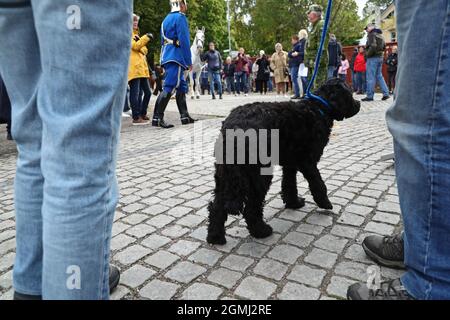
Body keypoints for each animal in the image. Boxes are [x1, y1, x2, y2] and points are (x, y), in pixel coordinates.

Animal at [206, 79, 360, 244]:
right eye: (350, 94)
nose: (358, 104)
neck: (319, 107)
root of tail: (233, 127)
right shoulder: (308, 162)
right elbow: (318, 184)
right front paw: (325, 203)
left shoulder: (290, 163)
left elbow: (289, 185)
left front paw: (294, 203)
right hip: (259, 175)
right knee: (251, 208)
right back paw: (261, 231)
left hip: (224, 175)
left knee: (217, 206)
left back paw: (215, 236)